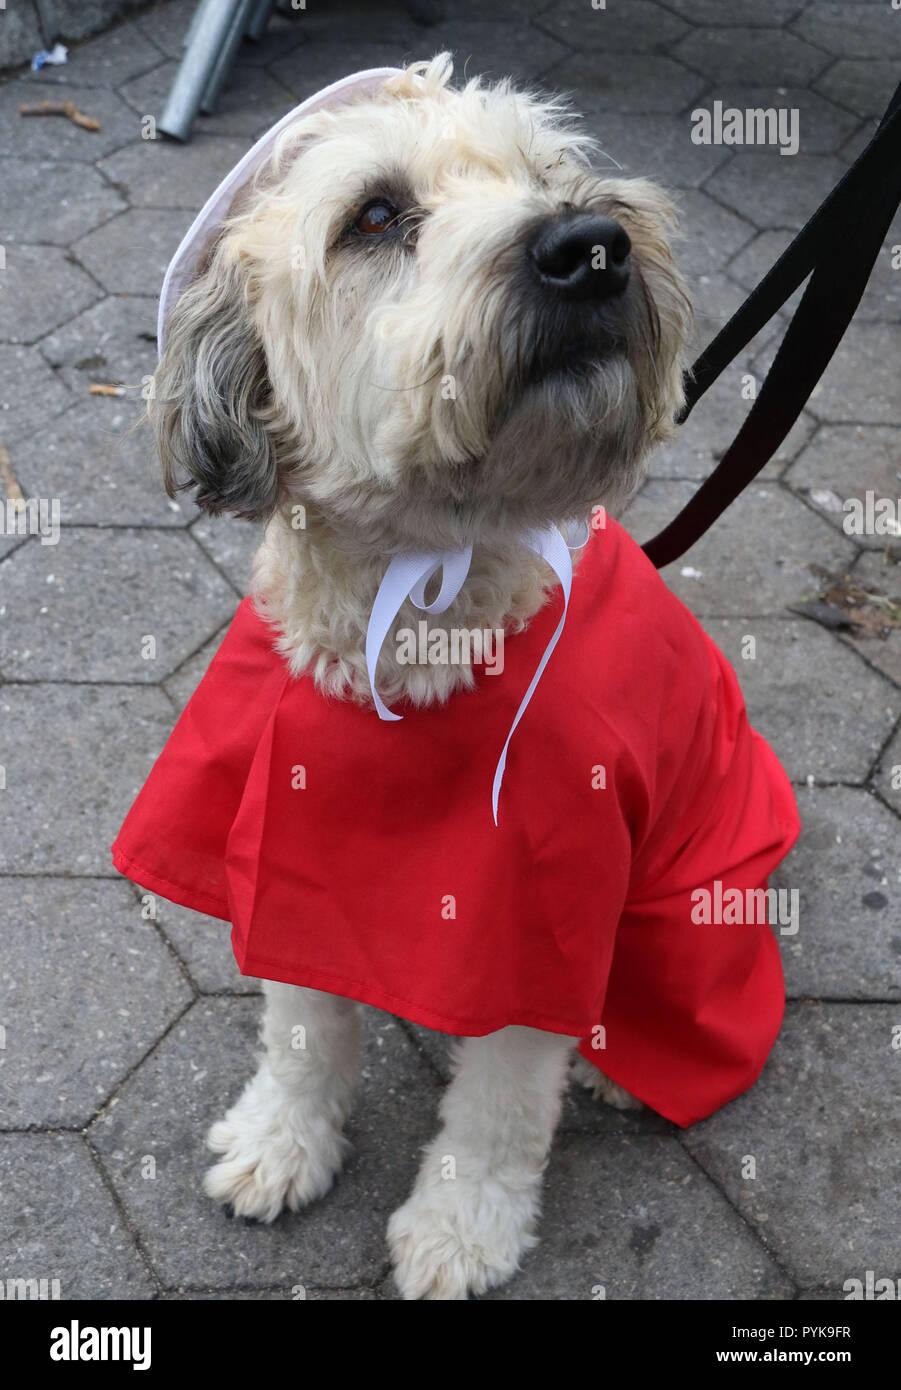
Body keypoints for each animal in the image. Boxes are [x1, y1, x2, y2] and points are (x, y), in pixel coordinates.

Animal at [116, 51, 800, 1289]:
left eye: (546, 171)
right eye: (376, 216)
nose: (590, 244)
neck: (426, 600)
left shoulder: (540, 908)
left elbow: (499, 1105)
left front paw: (459, 1228)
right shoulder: (282, 834)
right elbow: (301, 1026)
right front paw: (282, 1141)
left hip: (688, 907)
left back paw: (615, 1068)